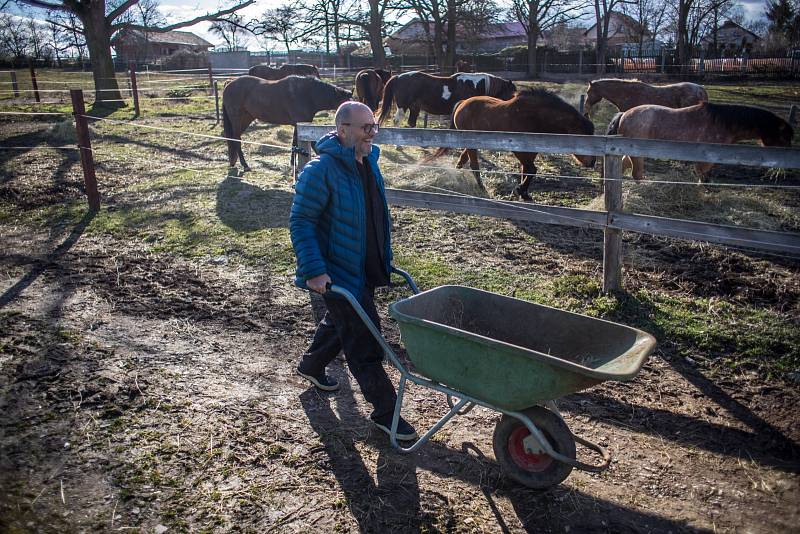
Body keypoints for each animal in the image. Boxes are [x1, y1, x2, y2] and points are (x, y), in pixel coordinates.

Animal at [222, 74, 354, 171]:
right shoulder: (302, 124)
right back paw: (245, 165)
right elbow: (311, 143)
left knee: (235, 138)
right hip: (237, 119)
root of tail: (229, 83)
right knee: (236, 139)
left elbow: (295, 142)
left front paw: (292, 163)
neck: (307, 94)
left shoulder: (299, 124)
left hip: (246, 119)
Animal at [376, 71, 516, 127]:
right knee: (397, 121)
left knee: (411, 123)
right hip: (402, 107)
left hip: (414, 107)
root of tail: (398, 77)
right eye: (510, 94)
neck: (473, 85)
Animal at [428, 90, 596, 201]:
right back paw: (481, 187)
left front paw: (524, 193)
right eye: (584, 138)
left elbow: (526, 170)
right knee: (474, 165)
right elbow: (531, 170)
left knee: (463, 159)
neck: (533, 117)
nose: (592, 162)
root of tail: (462, 103)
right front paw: (520, 190)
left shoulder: (530, 152)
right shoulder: (519, 150)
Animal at [608, 101, 792, 181]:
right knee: (636, 173)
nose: (786, 163)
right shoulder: (706, 160)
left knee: (625, 166)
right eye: (784, 137)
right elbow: (703, 177)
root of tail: (624, 114)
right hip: (637, 154)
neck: (722, 123)